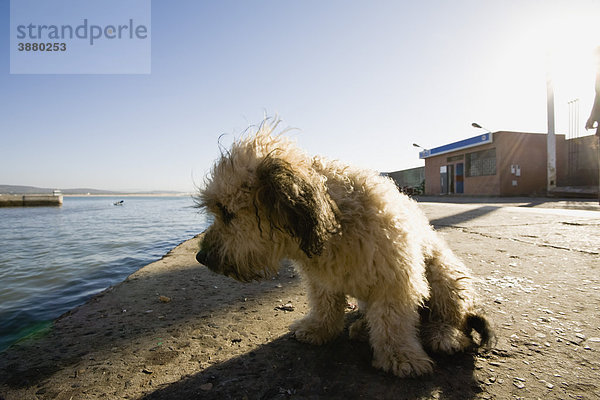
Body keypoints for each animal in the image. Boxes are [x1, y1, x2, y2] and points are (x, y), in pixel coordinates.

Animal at [197, 119, 492, 378]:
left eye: (226, 212)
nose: (201, 257)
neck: (335, 221)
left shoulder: (396, 278)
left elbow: (393, 320)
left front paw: (400, 356)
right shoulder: (322, 279)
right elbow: (325, 304)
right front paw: (318, 328)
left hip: (444, 274)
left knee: (453, 314)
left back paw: (445, 334)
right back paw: (362, 326)